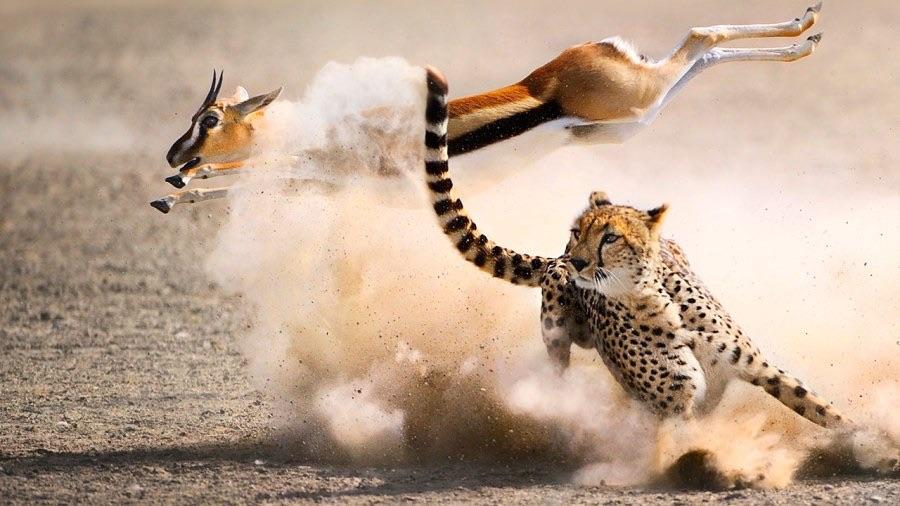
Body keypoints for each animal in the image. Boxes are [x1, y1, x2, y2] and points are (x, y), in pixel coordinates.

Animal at [152, 3, 823, 213]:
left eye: (209, 119)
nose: (172, 157)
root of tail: (590, 49)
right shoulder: (322, 185)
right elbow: (246, 180)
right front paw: (174, 194)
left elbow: (251, 171)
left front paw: (181, 187)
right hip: (627, 123)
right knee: (698, 58)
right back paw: (803, 35)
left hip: (634, 101)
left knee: (699, 37)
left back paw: (804, 30)